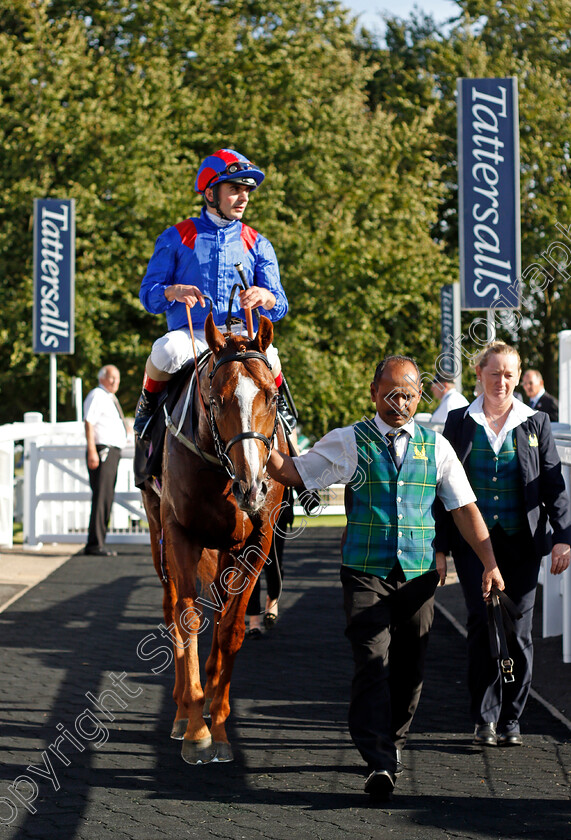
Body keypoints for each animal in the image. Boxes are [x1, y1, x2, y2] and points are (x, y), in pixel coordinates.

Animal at [141, 312, 288, 764]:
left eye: (271, 398)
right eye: (216, 400)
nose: (252, 487)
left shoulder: (256, 543)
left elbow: (230, 630)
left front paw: (219, 724)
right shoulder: (180, 535)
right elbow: (187, 618)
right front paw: (194, 729)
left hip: (227, 549)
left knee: (220, 610)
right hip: (158, 535)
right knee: (170, 607)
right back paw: (182, 709)